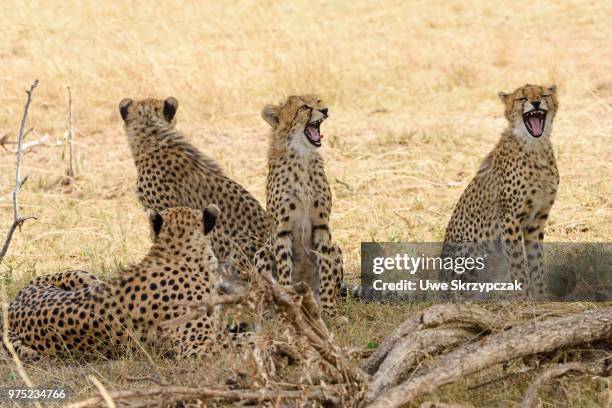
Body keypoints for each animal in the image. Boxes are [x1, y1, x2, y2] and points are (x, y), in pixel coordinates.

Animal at [440, 83, 560, 300]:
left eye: (543, 94)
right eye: (522, 98)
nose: (536, 102)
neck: (535, 147)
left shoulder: (537, 219)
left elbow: (536, 260)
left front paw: (540, 296)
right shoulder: (509, 219)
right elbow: (517, 262)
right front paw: (522, 298)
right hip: (472, 249)